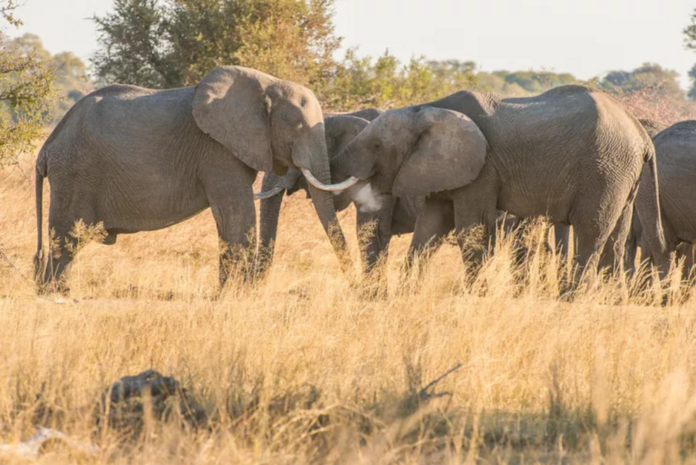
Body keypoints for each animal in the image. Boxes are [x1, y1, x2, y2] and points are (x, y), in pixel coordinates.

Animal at [328, 84, 668, 280]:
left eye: (376, 146)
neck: (425, 110)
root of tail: (642, 136)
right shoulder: (440, 169)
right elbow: (430, 229)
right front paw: (408, 296)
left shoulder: (483, 170)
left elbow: (470, 233)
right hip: (621, 176)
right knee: (616, 241)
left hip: (603, 172)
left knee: (591, 236)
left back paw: (570, 303)